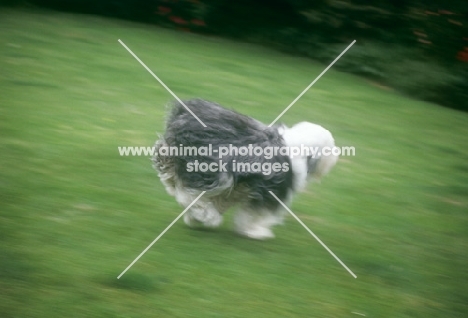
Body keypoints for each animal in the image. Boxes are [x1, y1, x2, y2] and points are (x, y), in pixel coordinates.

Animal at [152, 99, 338, 238]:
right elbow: (256, 214)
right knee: (189, 193)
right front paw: (256, 232)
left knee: (170, 169)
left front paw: (196, 218)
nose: (336, 152)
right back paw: (208, 216)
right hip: (214, 171)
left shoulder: (239, 190)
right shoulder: (271, 192)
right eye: (330, 146)